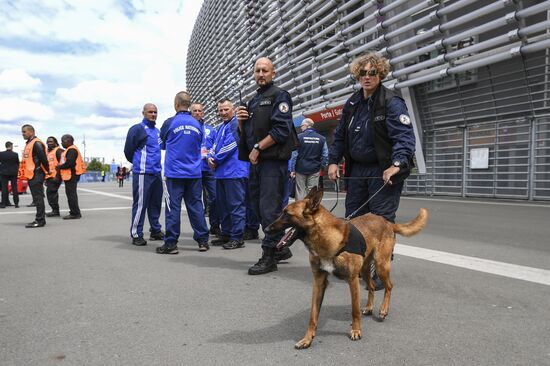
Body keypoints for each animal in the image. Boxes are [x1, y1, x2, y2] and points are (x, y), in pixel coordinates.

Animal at [266, 186, 430, 348]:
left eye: (286, 214)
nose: (267, 229)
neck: (327, 239)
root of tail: (387, 222)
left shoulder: (352, 280)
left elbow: (354, 310)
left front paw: (356, 331)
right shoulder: (318, 282)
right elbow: (313, 315)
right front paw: (307, 338)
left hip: (381, 265)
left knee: (389, 286)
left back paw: (383, 310)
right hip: (365, 269)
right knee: (371, 286)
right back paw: (369, 307)